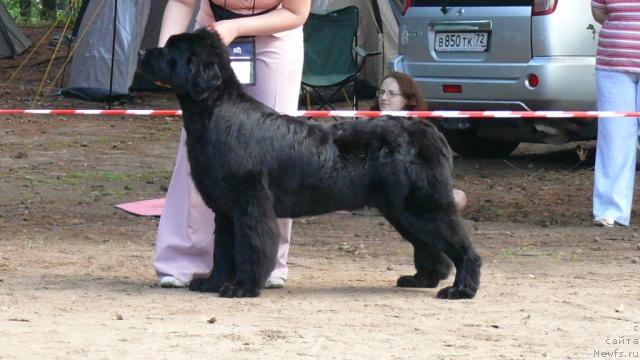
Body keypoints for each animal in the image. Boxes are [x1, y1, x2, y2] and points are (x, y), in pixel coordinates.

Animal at [139, 28, 480, 300]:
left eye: (170, 50)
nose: (143, 52)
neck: (214, 110)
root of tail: (428, 130)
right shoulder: (225, 209)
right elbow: (222, 251)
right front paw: (211, 283)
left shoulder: (250, 205)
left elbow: (250, 247)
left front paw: (242, 287)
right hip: (401, 209)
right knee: (429, 246)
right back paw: (422, 279)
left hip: (422, 205)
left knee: (461, 245)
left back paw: (460, 289)